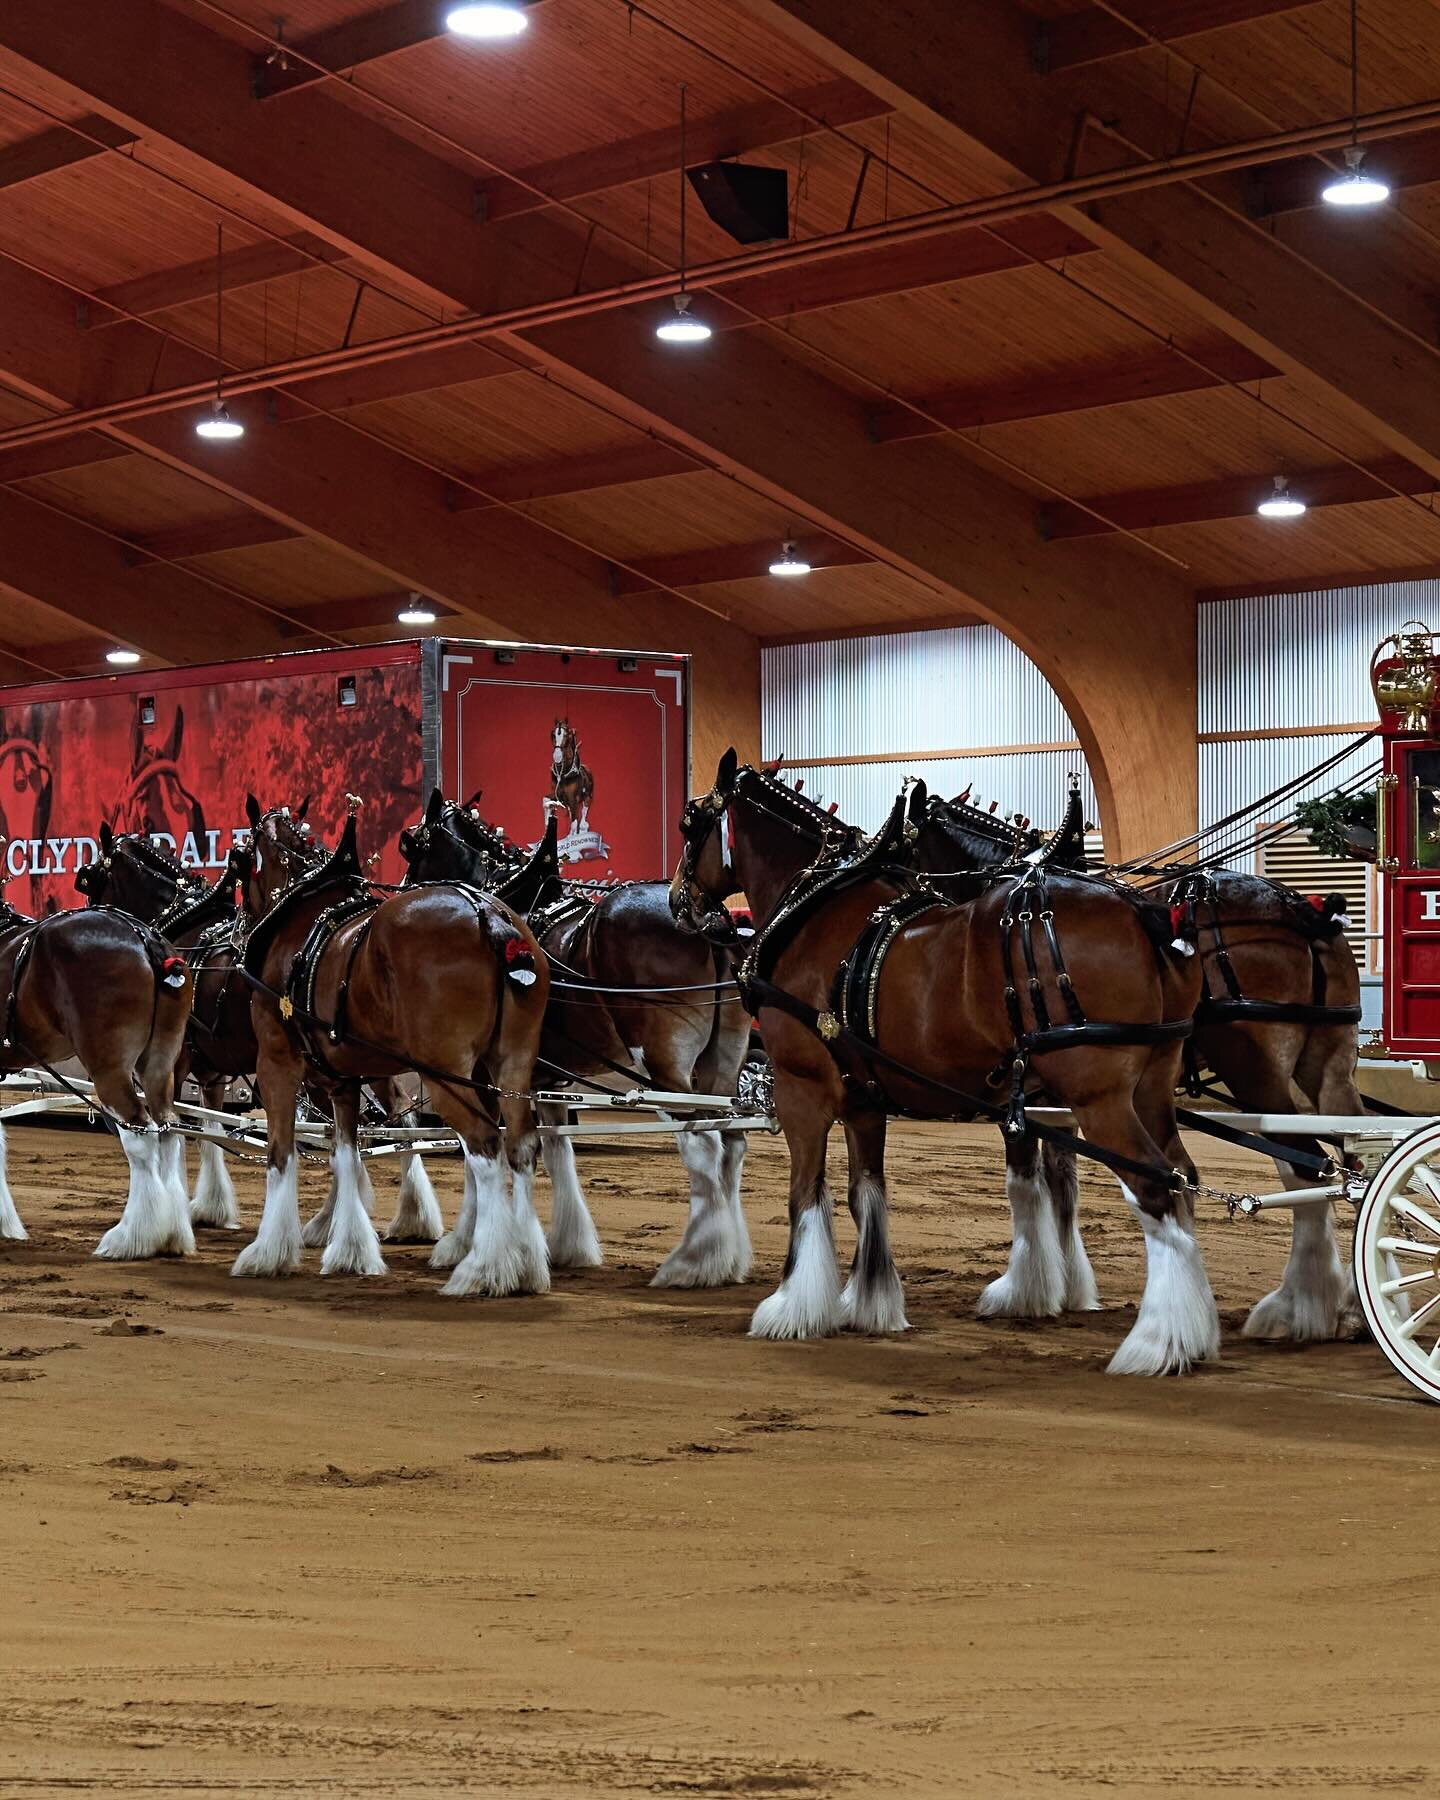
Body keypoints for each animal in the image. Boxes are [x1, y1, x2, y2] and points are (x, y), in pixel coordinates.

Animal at [0, 846, 194, 1260]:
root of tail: (145, 939)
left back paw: (131, 1238)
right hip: (160, 1063)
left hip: (109, 1066)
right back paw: (172, 1234)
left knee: (140, 1134)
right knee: (168, 1129)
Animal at [235, 802, 550, 1296]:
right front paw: (349, 1250)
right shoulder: (341, 1079)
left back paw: (485, 1268)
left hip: (445, 1075)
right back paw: (526, 1264)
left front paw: (268, 1252)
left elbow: (281, 1153)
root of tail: (487, 914)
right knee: (520, 1145)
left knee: (484, 1147)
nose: (239, 924)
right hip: (508, 1064)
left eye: (241, 858)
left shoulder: (276, 1064)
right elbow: (346, 1154)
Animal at [399, 788, 748, 1281]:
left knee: (702, 1139)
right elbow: (555, 1152)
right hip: (724, 1059)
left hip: (664, 1062)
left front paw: (465, 1244)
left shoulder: (481, 1075)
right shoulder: (544, 1083)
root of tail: (705, 920)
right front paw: (565, 1246)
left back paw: (697, 1261)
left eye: (411, 845)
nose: (404, 895)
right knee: (732, 1138)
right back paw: (731, 1259)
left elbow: (479, 1154)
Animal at [669, 759, 1209, 1375]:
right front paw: (870, 1303)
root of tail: (1146, 912)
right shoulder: (865, 1099)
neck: (812, 910)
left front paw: (791, 1308)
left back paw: (1157, 1341)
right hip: (1151, 1088)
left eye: (690, 823)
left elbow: (806, 1193)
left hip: (1101, 1100)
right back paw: (1190, 1329)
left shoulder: (800, 1089)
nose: (677, 902)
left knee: (1156, 1187)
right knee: (1182, 1176)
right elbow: (866, 1193)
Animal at [910, 784, 1360, 1339]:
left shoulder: (1032, 1099)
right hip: (1332, 1062)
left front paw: (1025, 1291)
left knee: (1304, 1167)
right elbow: (1063, 1181)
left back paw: (1298, 1306)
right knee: (1354, 1163)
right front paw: (1069, 1288)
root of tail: (1302, 910)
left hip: (1256, 1072)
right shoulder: (1062, 1095)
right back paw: (1349, 1303)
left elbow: (1028, 1180)